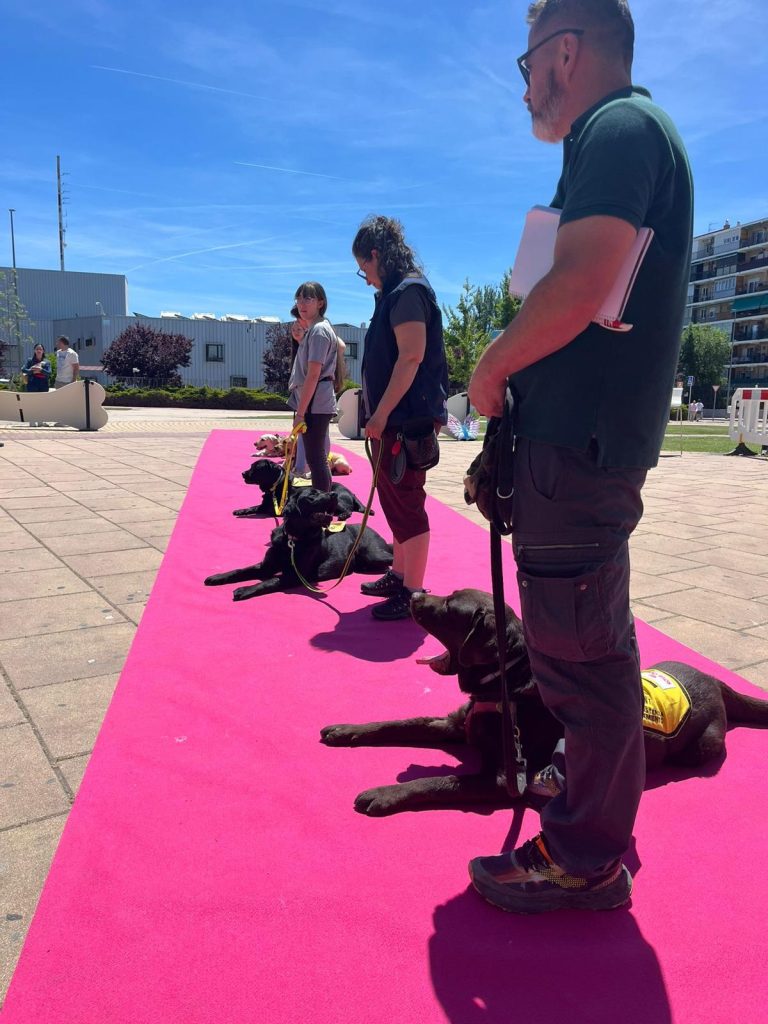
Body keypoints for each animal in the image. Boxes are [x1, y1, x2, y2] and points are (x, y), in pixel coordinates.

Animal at [206, 487, 393, 601]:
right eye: (312, 496)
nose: (334, 494)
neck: (293, 540)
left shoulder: (295, 575)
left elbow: (270, 581)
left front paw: (244, 590)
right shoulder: (265, 566)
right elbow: (240, 570)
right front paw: (217, 577)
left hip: (373, 554)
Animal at [234, 458, 369, 520]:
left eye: (256, 468)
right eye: (251, 466)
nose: (243, 473)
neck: (277, 485)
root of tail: (351, 493)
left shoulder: (282, 509)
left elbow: (268, 510)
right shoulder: (264, 504)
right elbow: (253, 507)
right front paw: (240, 511)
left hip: (337, 499)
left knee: (348, 510)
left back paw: (343, 515)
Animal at [320, 587, 768, 816]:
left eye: (448, 607)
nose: (414, 593)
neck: (509, 685)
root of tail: (716, 679)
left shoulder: (504, 779)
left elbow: (438, 782)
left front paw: (384, 794)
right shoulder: (452, 723)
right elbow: (398, 722)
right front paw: (346, 730)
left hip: (701, 746)